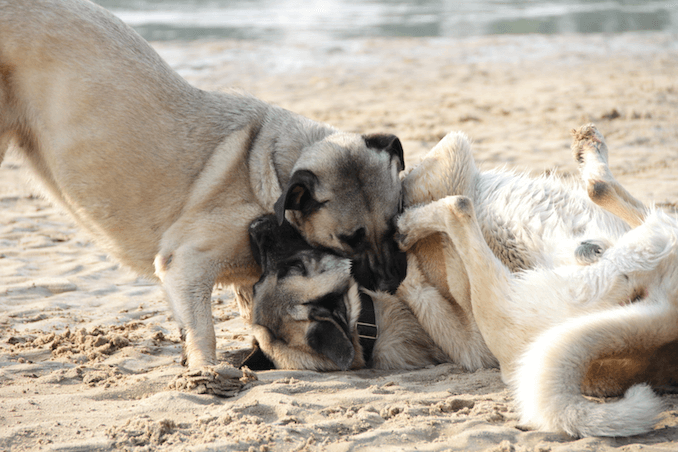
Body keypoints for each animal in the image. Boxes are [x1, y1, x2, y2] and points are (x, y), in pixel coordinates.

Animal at [0, 0, 410, 370]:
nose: (393, 283)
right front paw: (206, 370)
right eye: (349, 240)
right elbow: (204, 329)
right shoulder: (187, 264)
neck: (274, 171)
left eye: (395, 226)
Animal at [244, 124, 678, 438]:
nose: (256, 227)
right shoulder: (451, 156)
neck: (366, 317)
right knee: (463, 207)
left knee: (609, 195)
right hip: (511, 293)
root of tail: (660, 321)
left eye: (287, 267)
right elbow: (438, 182)